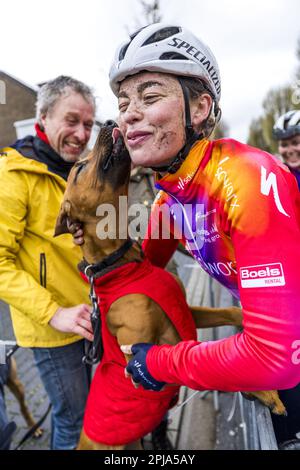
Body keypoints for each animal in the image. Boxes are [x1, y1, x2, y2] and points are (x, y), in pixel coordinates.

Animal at [54, 120, 286, 448]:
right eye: (79, 167)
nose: (111, 122)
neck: (123, 267)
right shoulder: (147, 359)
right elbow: (198, 361)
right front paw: (262, 390)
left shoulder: (184, 309)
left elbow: (226, 319)